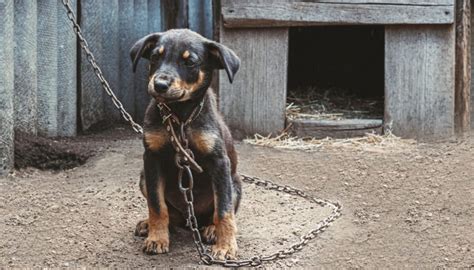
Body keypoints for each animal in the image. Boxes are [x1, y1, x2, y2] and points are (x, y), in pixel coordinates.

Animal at [129, 29, 241, 260]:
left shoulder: (219, 162)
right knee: (170, 215)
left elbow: (224, 210)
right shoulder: (151, 159)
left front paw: (226, 246)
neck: (180, 117)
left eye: (190, 62)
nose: (160, 85)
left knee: (218, 212)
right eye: (155, 57)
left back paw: (211, 230)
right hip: (144, 178)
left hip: (235, 185)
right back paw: (148, 225)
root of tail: (191, 221)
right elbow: (156, 205)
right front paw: (157, 239)